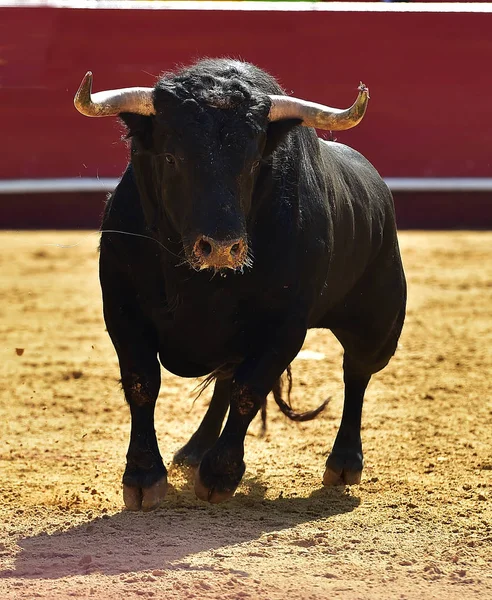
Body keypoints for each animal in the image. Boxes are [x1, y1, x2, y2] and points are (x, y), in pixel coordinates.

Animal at [78, 58, 408, 508]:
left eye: (252, 164)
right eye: (171, 157)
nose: (220, 247)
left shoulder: (286, 324)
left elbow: (250, 390)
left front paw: (219, 475)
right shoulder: (121, 305)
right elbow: (143, 382)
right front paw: (144, 477)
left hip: (378, 321)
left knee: (355, 374)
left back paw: (343, 463)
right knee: (225, 378)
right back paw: (194, 449)